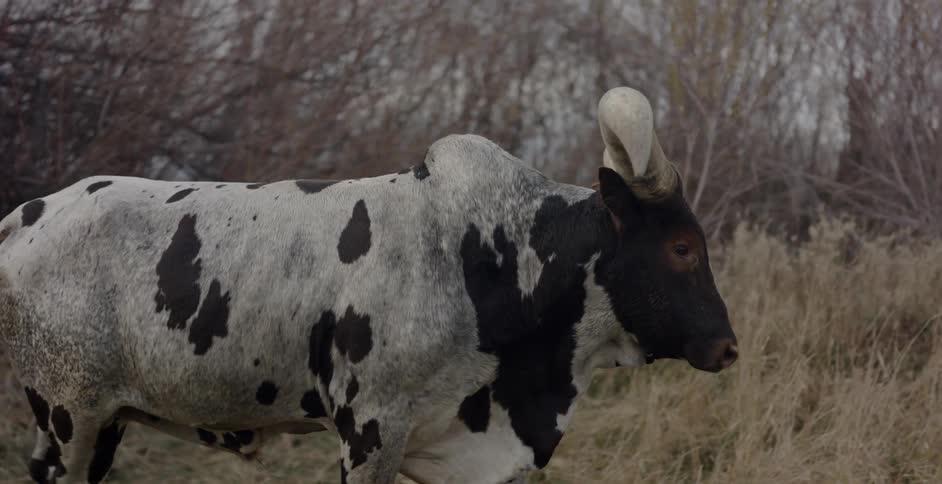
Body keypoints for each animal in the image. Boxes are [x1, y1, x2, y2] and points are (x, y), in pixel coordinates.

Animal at [0, 87, 737, 484]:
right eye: (681, 247)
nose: (727, 346)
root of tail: (29, 213)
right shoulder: (373, 425)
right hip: (73, 419)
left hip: (89, 425)